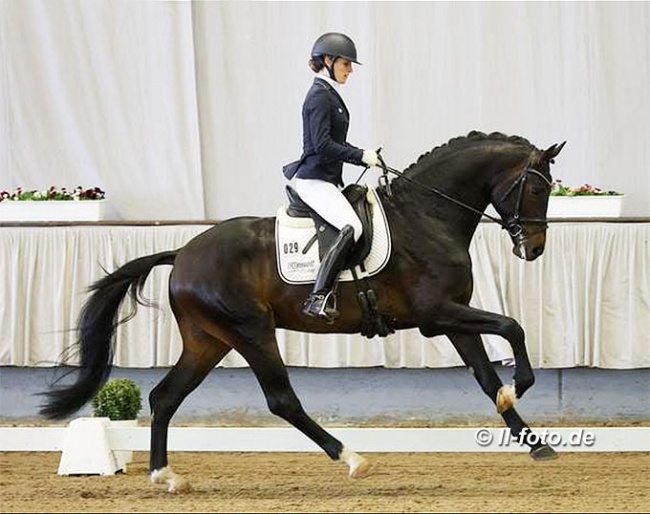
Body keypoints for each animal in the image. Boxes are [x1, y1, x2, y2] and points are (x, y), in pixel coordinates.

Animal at [43, 130, 564, 490]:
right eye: (537, 190)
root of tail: (183, 253)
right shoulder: (437, 315)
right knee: (281, 400)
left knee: (164, 397)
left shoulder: (453, 313)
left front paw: (535, 442)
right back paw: (351, 457)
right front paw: (522, 385)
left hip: (207, 340)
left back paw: (164, 476)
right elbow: (513, 326)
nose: (535, 249)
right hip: (251, 332)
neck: (426, 217)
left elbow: (486, 376)